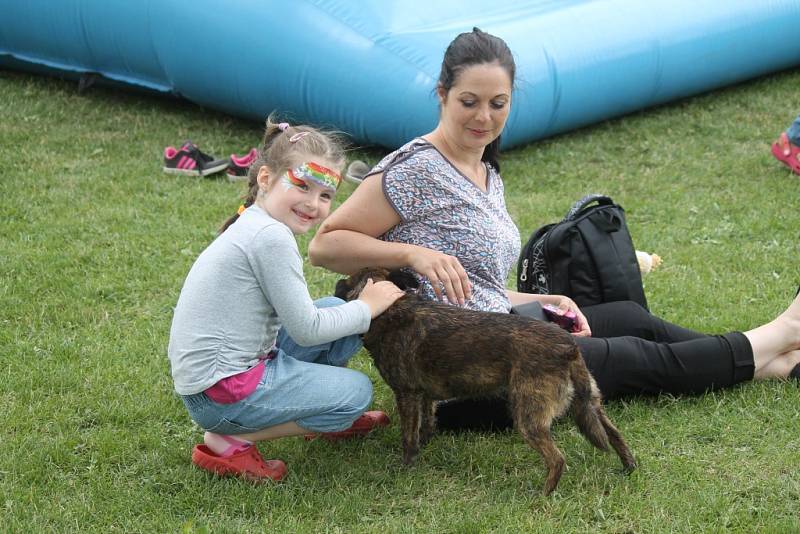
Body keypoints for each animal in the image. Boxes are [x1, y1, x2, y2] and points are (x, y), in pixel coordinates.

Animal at [336, 268, 636, 498]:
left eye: (348, 280)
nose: (337, 284)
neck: (393, 308)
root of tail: (568, 346)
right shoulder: (425, 395)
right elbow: (427, 423)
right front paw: (425, 445)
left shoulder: (407, 394)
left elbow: (408, 438)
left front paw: (406, 467)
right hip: (590, 404)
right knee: (615, 434)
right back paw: (628, 467)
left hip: (528, 418)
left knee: (557, 459)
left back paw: (542, 495)